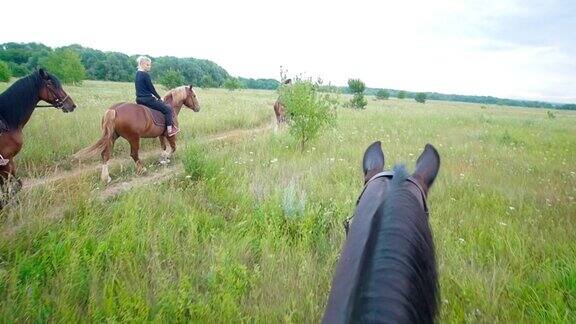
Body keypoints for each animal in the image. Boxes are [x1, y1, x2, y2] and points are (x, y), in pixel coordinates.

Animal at [0, 69, 76, 206]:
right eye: (51, 84)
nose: (71, 105)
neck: (7, 121)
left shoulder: (9, 161)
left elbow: (17, 185)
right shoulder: (5, 161)